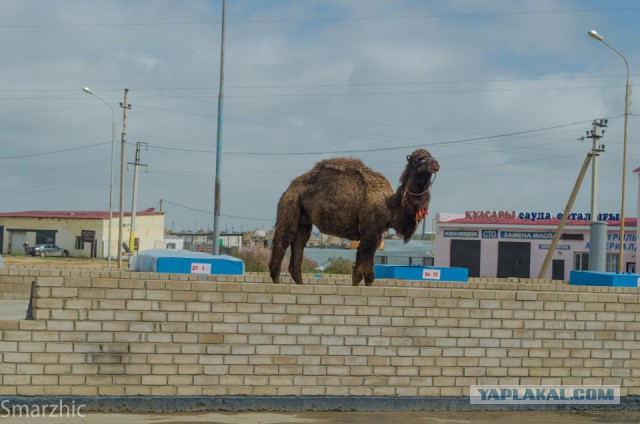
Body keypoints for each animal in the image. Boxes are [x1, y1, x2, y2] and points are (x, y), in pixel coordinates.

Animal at [268, 148, 438, 284]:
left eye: (430, 156)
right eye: (419, 159)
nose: (435, 163)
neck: (389, 205)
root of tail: (289, 189)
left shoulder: (376, 236)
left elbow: (368, 274)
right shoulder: (369, 232)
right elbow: (360, 272)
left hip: (303, 221)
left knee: (298, 252)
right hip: (290, 206)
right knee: (282, 245)